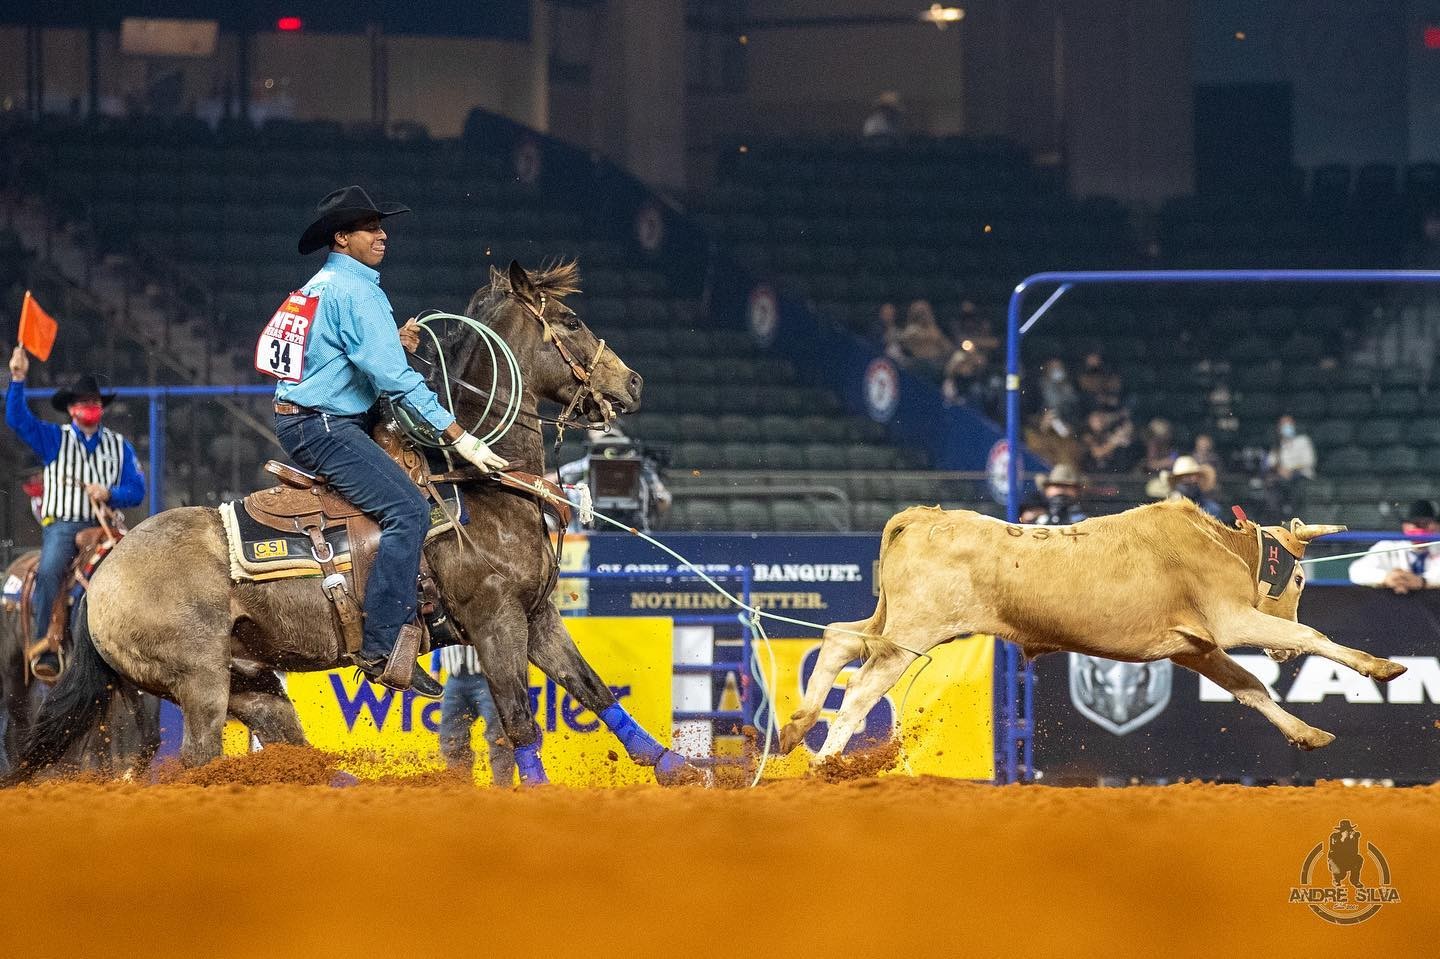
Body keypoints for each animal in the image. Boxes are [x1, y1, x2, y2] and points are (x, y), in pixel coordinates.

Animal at [8, 262, 705, 783]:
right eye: (570, 321)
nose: (633, 382)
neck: (477, 485)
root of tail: (101, 578)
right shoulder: (495, 619)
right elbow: (519, 722)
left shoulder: (538, 616)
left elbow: (595, 691)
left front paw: (678, 769)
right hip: (199, 687)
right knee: (193, 766)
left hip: (250, 687)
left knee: (281, 758)